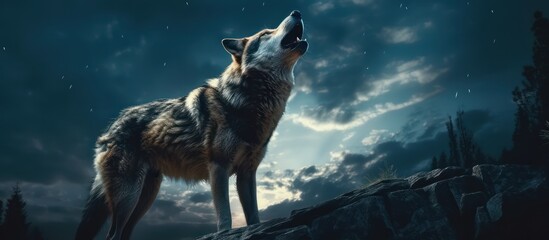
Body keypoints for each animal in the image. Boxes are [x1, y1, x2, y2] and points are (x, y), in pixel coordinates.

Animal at [75, 10, 308, 239]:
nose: (297, 12)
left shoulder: (247, 174)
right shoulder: (218, 167)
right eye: (266, 33)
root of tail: (109, 128)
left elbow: (254, 217)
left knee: (123, 233)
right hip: (128, 196)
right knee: (112, 235)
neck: (246, 100)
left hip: (145, 197)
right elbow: (225, 216)